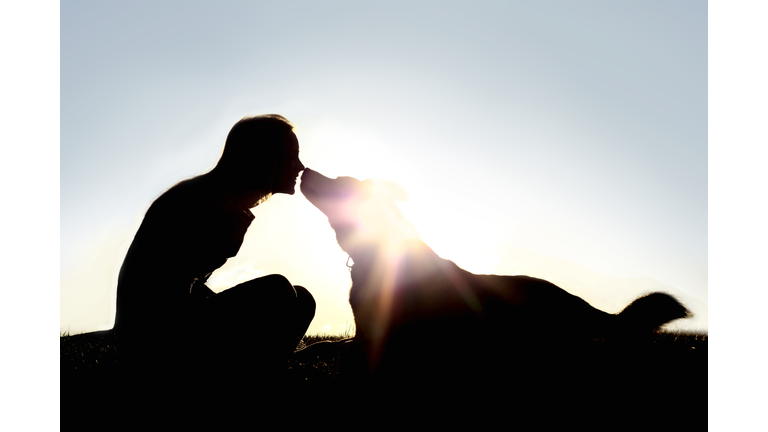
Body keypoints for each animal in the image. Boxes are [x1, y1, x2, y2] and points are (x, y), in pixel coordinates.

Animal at [298, 167, 688, 384]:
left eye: (339, 183)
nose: (305, 171)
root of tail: (581, 305)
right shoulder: (364, 334)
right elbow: (327, 344)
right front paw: (308, 351)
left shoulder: (387, 343)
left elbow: (350, 356)